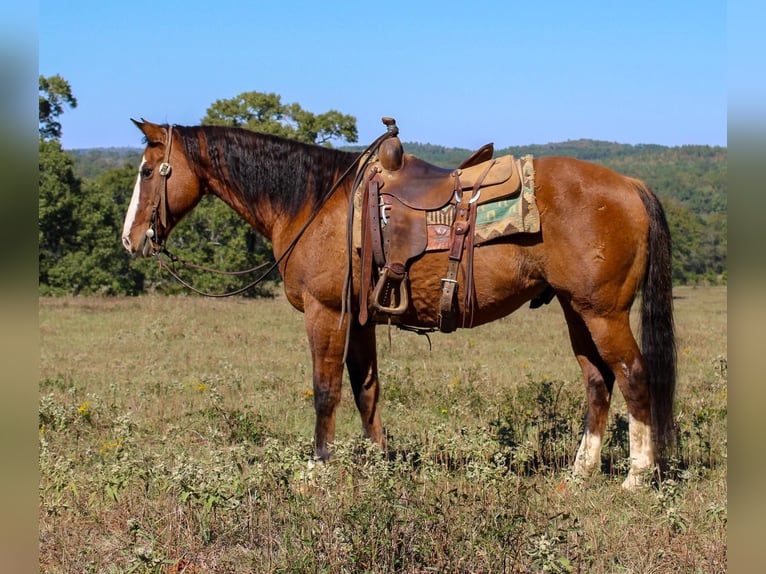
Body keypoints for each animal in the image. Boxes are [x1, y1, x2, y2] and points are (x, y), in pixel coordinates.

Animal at [121, 120, 680, 490]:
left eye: (149, 171)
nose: (131, 239)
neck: (315, 204)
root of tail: (632, 185)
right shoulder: (362, 319)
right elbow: (366, 391)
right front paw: (379, 462)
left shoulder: (328, 313)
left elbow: (326, 391)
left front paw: (317, 468)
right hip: (575, 308)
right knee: (597, 381)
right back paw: (581, 471)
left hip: (602, 312)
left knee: (634, 375)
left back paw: (635, 476)